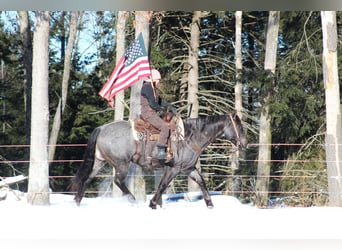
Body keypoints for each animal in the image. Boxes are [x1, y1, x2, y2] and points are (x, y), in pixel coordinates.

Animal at [70, 112, 246, 209]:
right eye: (240, 126)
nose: (244, 143)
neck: (189, 136)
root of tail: (101, 128)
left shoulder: (188, 168)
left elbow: (201, 182)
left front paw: (210, 204)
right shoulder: (173, 168)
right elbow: (163, 185)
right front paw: (153, 204)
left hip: (99, 162)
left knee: (87, 179)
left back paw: (77, 202)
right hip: (121, 163)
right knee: (118, 181)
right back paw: (134, 201)